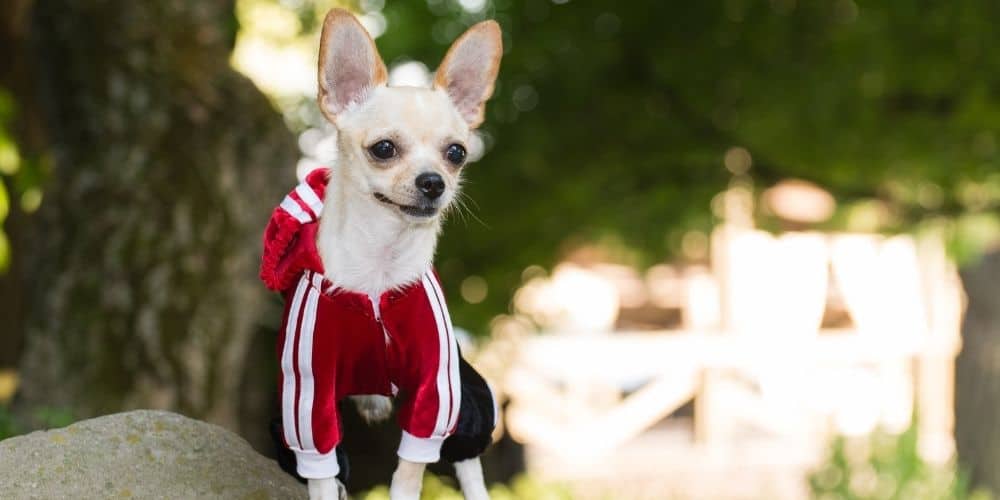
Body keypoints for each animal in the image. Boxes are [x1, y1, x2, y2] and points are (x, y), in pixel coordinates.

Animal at [262, 8, 504, 500]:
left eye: (456, 153)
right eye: (384, 149)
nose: (434, 182)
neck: (378, 268)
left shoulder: (438, 391)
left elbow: (410, 470)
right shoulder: (306, 399)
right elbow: (323, 472)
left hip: (466, 395)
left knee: (468, 458)